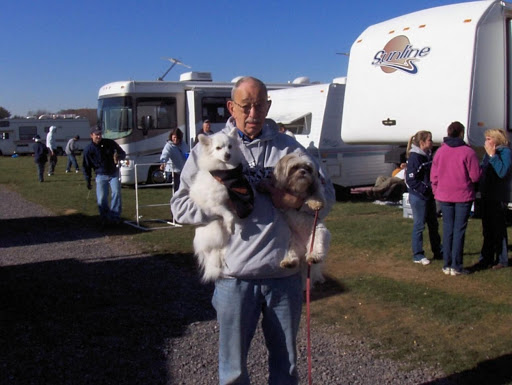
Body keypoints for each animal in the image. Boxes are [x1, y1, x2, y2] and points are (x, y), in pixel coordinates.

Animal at [190, 127, 246, 280]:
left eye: (230, 147)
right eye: (218, 148)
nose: (227, 154)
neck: (224, 171)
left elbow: (232, 213)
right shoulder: (215, 205)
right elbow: (229, 215)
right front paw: (231, 226)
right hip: (215, 230)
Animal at [272, 152, 332, 284]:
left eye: (308, 168)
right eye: (294, 167)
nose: (303, 172)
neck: (298, 189)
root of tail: (305, 248)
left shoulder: (317, 187)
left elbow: (316, 194)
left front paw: (315, 203)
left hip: (318, 233)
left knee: (317, 248)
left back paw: (314, 256)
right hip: (291, 240)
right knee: (293, 255)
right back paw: (289, 262)